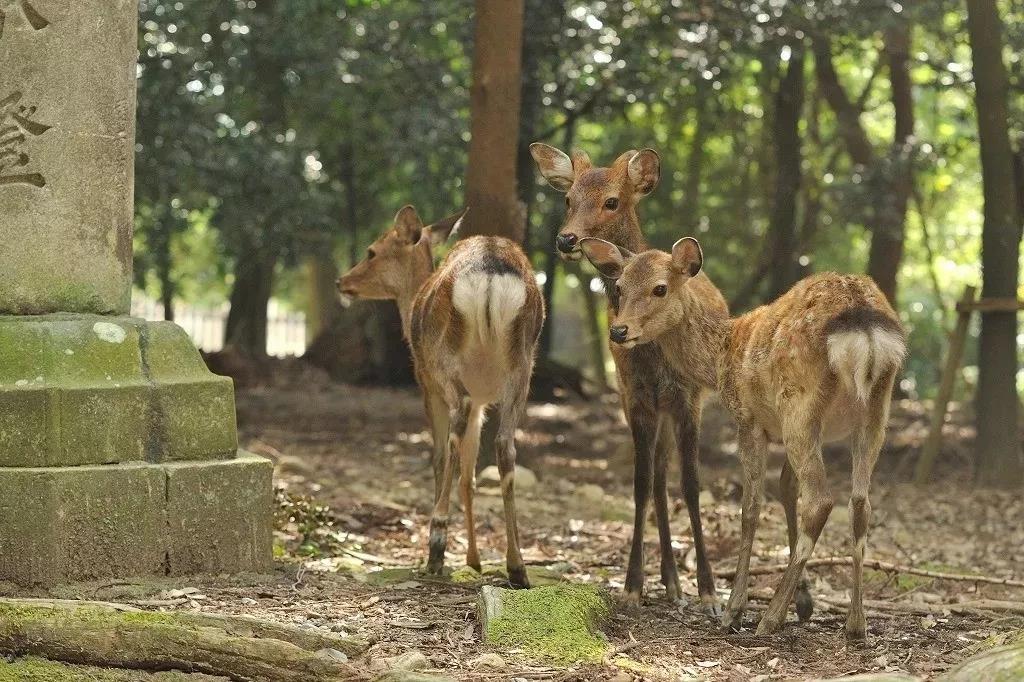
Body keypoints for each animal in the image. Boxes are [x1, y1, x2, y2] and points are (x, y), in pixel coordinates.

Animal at [335, 205, 544, 585]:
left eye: (372, 251)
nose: (342, 281)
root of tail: (491, 269)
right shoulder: (482, 402)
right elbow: (469, 477)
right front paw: (474, 560)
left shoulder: (426, 383)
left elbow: (440, 457)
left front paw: (452, 554)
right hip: (522, 371)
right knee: (505, 446)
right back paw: (517, 565)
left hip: (446, 366)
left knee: (450, 442)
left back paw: (436, 548)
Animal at [532, 143, 724, 610]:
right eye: (568, 199)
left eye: (612, 201)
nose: (566, 240)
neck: (654, 357)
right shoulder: (633, 396)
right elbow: (638, 484)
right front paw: (633, 585)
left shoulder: (688, 398)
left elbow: (692, 484)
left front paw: (710, 592)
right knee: (656, 477)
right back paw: (669, 580)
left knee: (667, 475)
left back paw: (678, 583)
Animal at [581, 233, 909, 638]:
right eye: (620, 287)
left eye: (660, 288)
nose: (619, 331)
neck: (721, 355)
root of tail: (862, 319)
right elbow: (786, 489)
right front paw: (799, 605)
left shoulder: (749, 419)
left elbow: (750, 508)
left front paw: (733, 609)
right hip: (875, 411)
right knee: (860, 503)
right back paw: (855, 624)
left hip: (799, 403)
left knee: (820, 501)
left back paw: (768, 618)